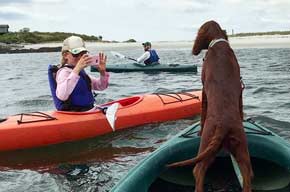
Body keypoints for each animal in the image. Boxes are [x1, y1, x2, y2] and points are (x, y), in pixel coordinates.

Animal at [168, 20, 254, 191]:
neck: (219, 43)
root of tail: (224, 126)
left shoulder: (203, 89)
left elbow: (202, 112)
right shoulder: (240, 91)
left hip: (206, 144)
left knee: (198, 170)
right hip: (241, 148)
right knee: (248, 175)